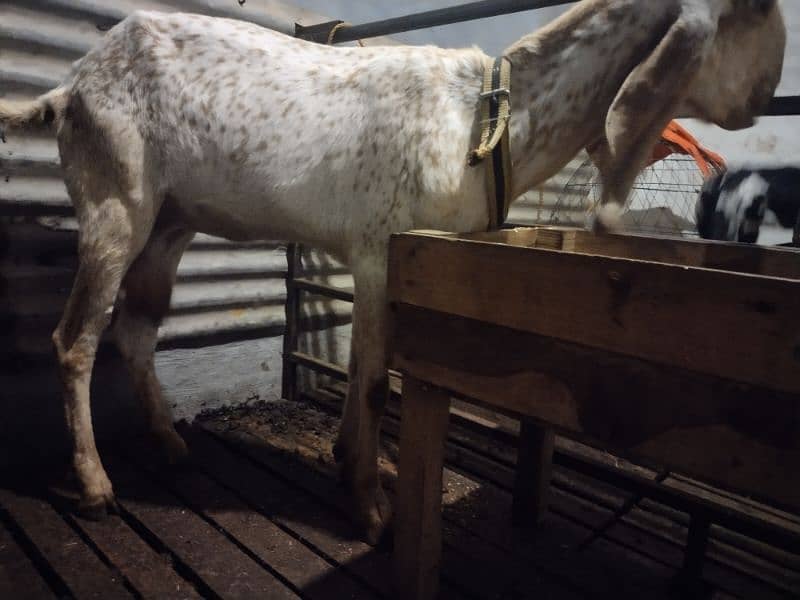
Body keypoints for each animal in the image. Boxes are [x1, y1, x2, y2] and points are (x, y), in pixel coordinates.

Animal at [0, 0, 784, 544]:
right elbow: (377, 383)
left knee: (136, 330)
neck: (486, 121)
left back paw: (169, 442)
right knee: (75, 338)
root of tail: (68, 90)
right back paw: (96, 485)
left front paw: (357, 466)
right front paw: (374, 511)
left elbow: (364, 373)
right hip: (116, 195)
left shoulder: (391, 260)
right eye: (749, 10)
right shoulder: (382, 248)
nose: (766, 92)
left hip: (171, 218)